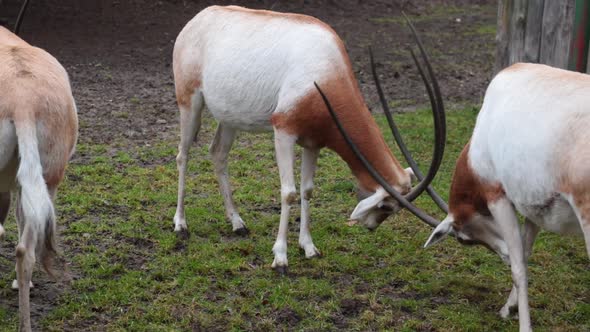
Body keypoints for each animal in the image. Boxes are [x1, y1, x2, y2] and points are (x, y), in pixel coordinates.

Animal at [173, 5, 446, 272]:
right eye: (386, 206)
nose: (370, 226)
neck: (326, 72)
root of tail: (200, 17)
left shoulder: (313, 142)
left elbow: (307, 190)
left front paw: (309, 247)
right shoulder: (283, 131)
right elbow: (289, 193)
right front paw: (280, 257)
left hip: (230, 117)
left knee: (218, 153)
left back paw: (237, 223)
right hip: (189, 103)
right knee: (182, 156)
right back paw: (181, 224)